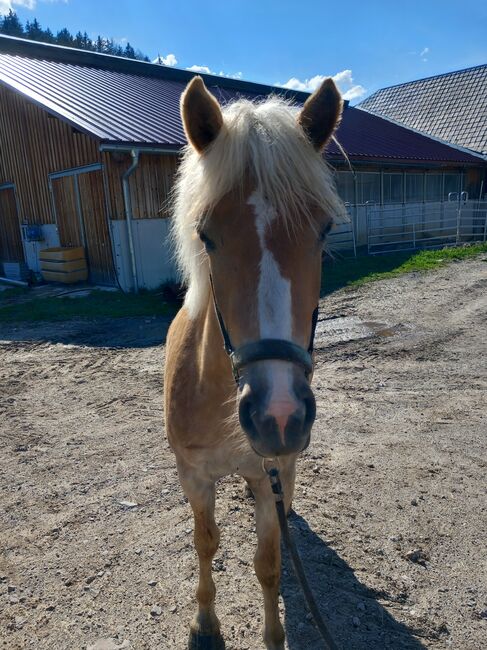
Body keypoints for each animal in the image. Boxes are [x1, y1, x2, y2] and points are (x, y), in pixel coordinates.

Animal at [166, 76, 346, 648]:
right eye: (206, 235)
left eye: (323, 230)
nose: (279, 414)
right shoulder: (194, 477)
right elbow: (205, 543)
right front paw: (205, 624)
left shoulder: (275, 473)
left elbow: (268, 563)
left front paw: (273, 635)